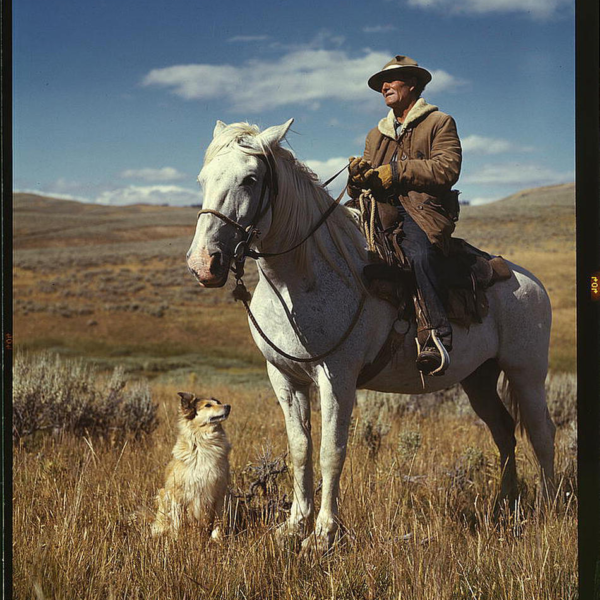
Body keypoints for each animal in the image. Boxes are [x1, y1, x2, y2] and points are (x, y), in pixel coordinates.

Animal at [151, 392, 231, 540]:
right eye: (208, 405)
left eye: (218, 402)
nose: (228, 406)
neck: (204, 443)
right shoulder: (177, 493)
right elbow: (177, 523)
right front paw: (177, 541)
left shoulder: (219, 491)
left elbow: (218, 521)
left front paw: (217, 539)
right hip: (163, 494)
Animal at [185, 117, 556, 552]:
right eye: (202, 178)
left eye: (250, 178)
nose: (203, 263)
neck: (304, 275)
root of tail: (529, 281)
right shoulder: (284, 377)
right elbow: (300, 449)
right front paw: (294, 525)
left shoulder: (338, 376)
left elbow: (331, 451)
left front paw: (323, 534)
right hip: (478, 378)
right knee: (504, 432)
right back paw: (504, 506)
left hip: (526, 372)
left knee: (542, 434)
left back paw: (547, 508)